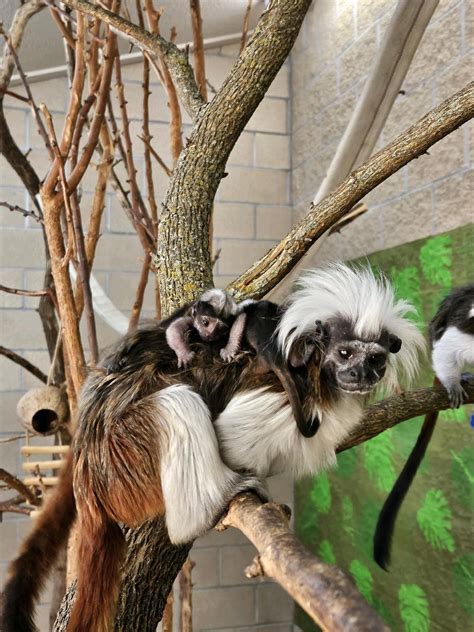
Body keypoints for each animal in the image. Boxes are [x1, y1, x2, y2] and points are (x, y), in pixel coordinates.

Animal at [109, 288, 322, 436]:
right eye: (205, 322)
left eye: (220, 328)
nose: (209, 334)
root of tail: (273, 355)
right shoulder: (190, 315)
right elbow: (174, 328)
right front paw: (184, 353)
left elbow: (240, 319)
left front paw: (228, 348)